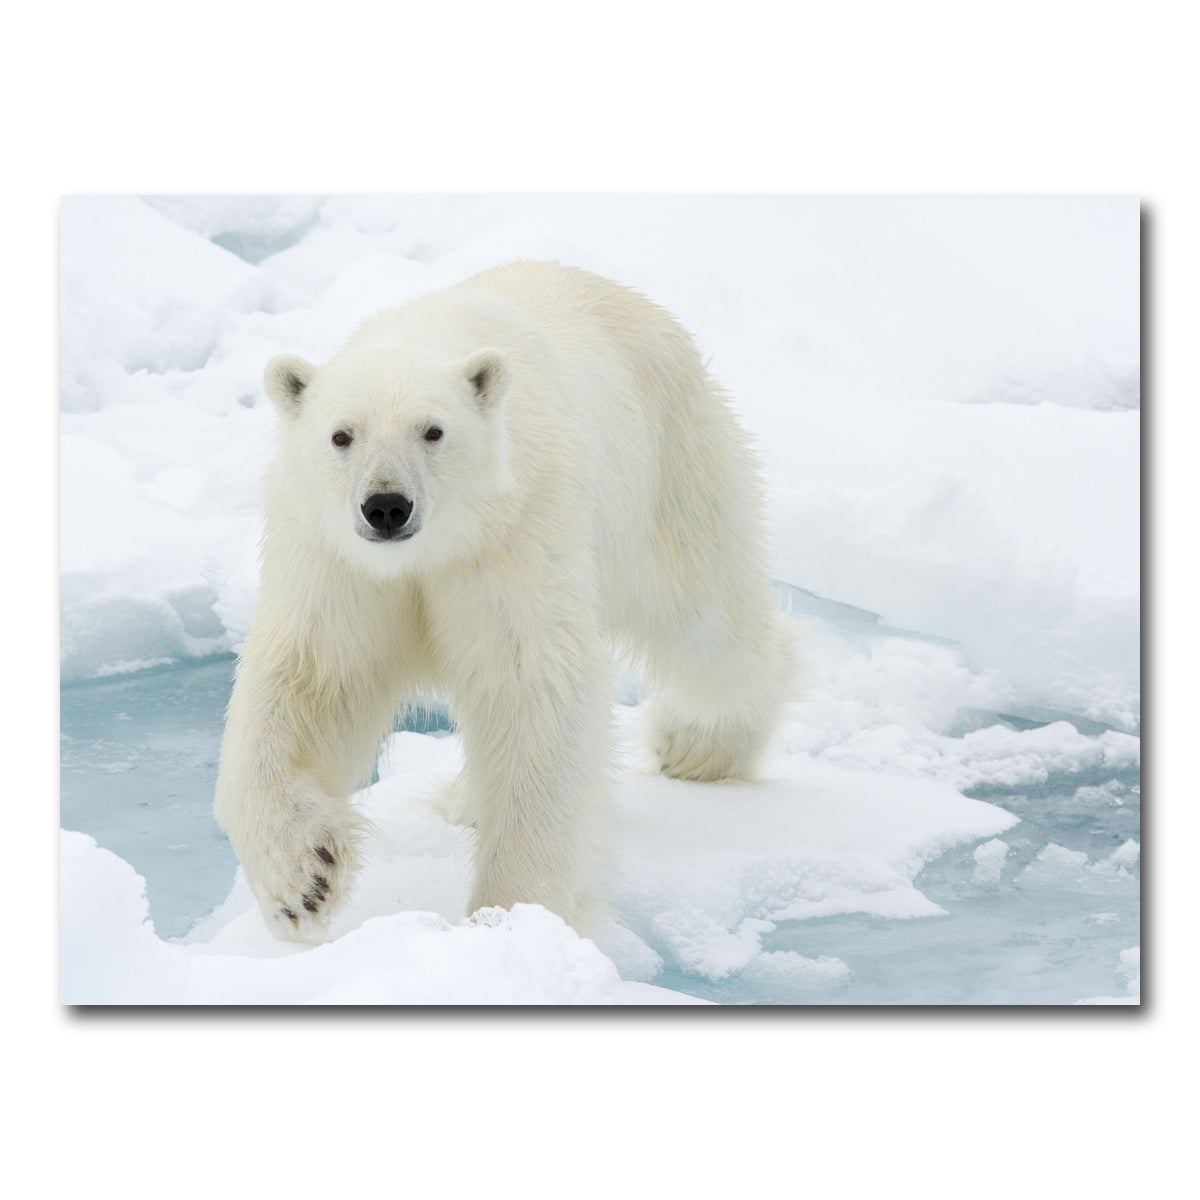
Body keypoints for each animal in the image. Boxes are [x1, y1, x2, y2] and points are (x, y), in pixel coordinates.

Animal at [214, 260, 795, 942]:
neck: (433, 551)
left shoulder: (516, 530)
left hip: (670, 467)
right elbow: (310, 680)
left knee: (707, 622)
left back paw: (697, 745)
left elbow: (531, 688)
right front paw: (304, 878)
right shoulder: (337, 562)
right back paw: (468, 799)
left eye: (433, 430)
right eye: (341, 435)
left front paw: (513, 913)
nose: (386, 506)